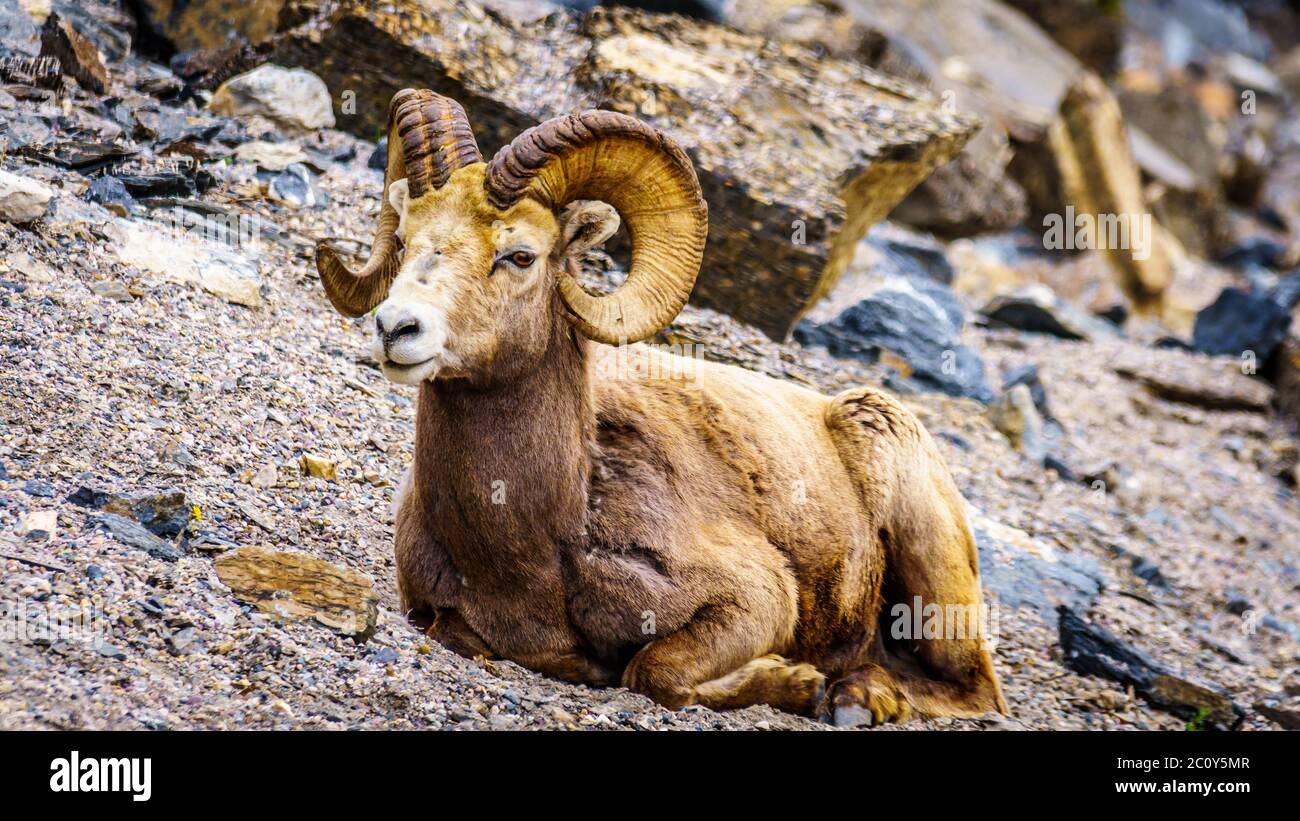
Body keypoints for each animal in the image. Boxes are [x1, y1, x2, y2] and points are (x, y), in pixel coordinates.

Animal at [314, 86, 1003, 722]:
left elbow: (652, 670)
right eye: (405, 240)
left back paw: (858, 696)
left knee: (974, 689)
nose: (396, 328)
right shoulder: (442, 616)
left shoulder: (757, 601)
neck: (539, 541)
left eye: (519, 255)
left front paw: (797, 682)